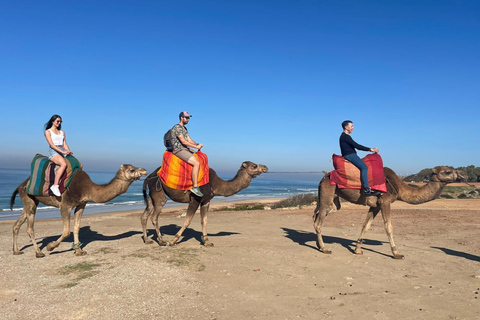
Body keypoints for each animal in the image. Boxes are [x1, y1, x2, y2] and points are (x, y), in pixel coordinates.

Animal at [10, 165, 146, 258]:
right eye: (131, 169)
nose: (144, 170)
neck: (88, 188)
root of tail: (20, 185)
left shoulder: (81, 204)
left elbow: (76, 228)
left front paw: (78, 251)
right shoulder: (65, 205)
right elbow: (66, 231)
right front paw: (50, 247)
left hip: (31, 201)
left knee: (17, 224)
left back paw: (16, 251)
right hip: (28, 198)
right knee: (30, 228)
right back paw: (39, 252)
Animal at [314, 166, 466, 258]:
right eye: (447, 171)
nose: (462, 175)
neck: (399, 187)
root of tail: (323, 178)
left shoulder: (375, 206)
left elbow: (366, 226)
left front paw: (357, 250)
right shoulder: (385, 201)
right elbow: (388, 227)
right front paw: (397, 253)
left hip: (332, 199)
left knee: (317, 215)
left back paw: (319, 245)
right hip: (328, 193)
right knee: (318, 222)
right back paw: (325, 248)